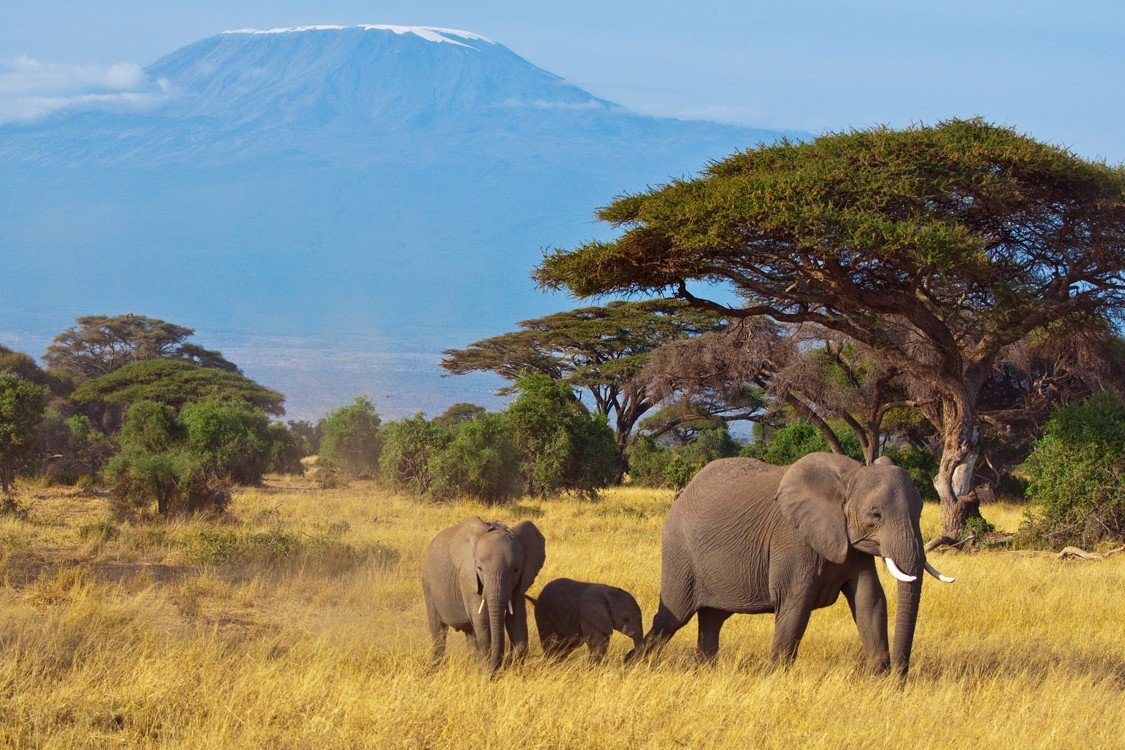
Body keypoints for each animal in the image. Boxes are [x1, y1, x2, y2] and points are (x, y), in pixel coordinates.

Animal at [423, 517, 544, 674]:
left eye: (516, 569)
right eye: (479, 568)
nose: (502, 665)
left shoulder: (521, 581)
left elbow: (516, 619)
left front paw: (510, 668)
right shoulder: (468, 578)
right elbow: (483, 621)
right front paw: (486, 671)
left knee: (470, 634)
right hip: (427, 584)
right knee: (438, 631)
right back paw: (435, 669)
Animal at [630, 454, 954, 679]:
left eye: (920, 511)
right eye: (875, 515)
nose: (900, 675)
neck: (849, 477)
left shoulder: (850, 544)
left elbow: (869, 600)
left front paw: (878, 681)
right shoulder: (793, 538)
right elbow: (796, 604)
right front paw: (775, 679)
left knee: (712, 619)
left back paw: (704, 672)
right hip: (680, 552)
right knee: (672, 617)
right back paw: (633, 665)